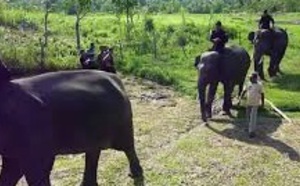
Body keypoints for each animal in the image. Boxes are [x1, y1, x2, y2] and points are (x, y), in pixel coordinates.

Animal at [0, 68, 143, 186]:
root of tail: (115, 78)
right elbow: (12, 169)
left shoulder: (33, 132)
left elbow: (37, 168)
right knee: (93, 151)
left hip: (122, 120)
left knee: (126, 147)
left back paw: (135, 174)